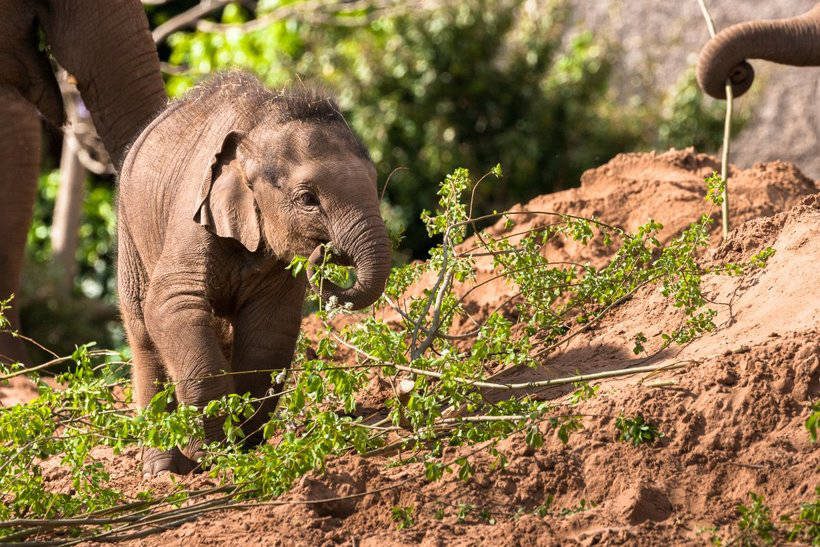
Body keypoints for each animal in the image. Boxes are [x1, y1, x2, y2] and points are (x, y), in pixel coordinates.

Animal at [116, 71, 394, 476]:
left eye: (375, 182)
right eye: (308, 199)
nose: (323, 252)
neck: (259, 125)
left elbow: (268, 329)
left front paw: (242, 442)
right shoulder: (192, 214)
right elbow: (172, 306)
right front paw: (212, 450)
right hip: (129, 232)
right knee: (143, 333)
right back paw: (161, 470)